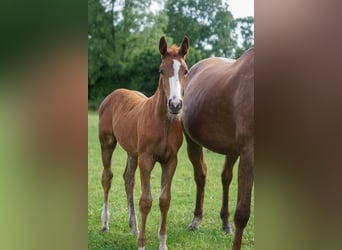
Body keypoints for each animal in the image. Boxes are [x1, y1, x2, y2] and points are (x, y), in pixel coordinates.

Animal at [98, 36, 190, 249]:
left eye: (186, 71)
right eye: (161, 70)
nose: (175, 105)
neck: (164, 124)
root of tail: (114, 93)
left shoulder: (170, 161)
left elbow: (165, 200)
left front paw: (162, 243)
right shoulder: (146, 159)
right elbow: (146, 201)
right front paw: (142, 243)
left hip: (132, 152)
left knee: (128, 179)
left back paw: (133, 225)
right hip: (107, 143)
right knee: (107, 177)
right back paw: (105, 223)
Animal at [182, 47, 254, 250]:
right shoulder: (249, 155)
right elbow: (243, 213)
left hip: (231, 151)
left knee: (225, 178)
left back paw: (225, 223)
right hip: (192, 142)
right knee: (201, 175)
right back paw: (196, 220)